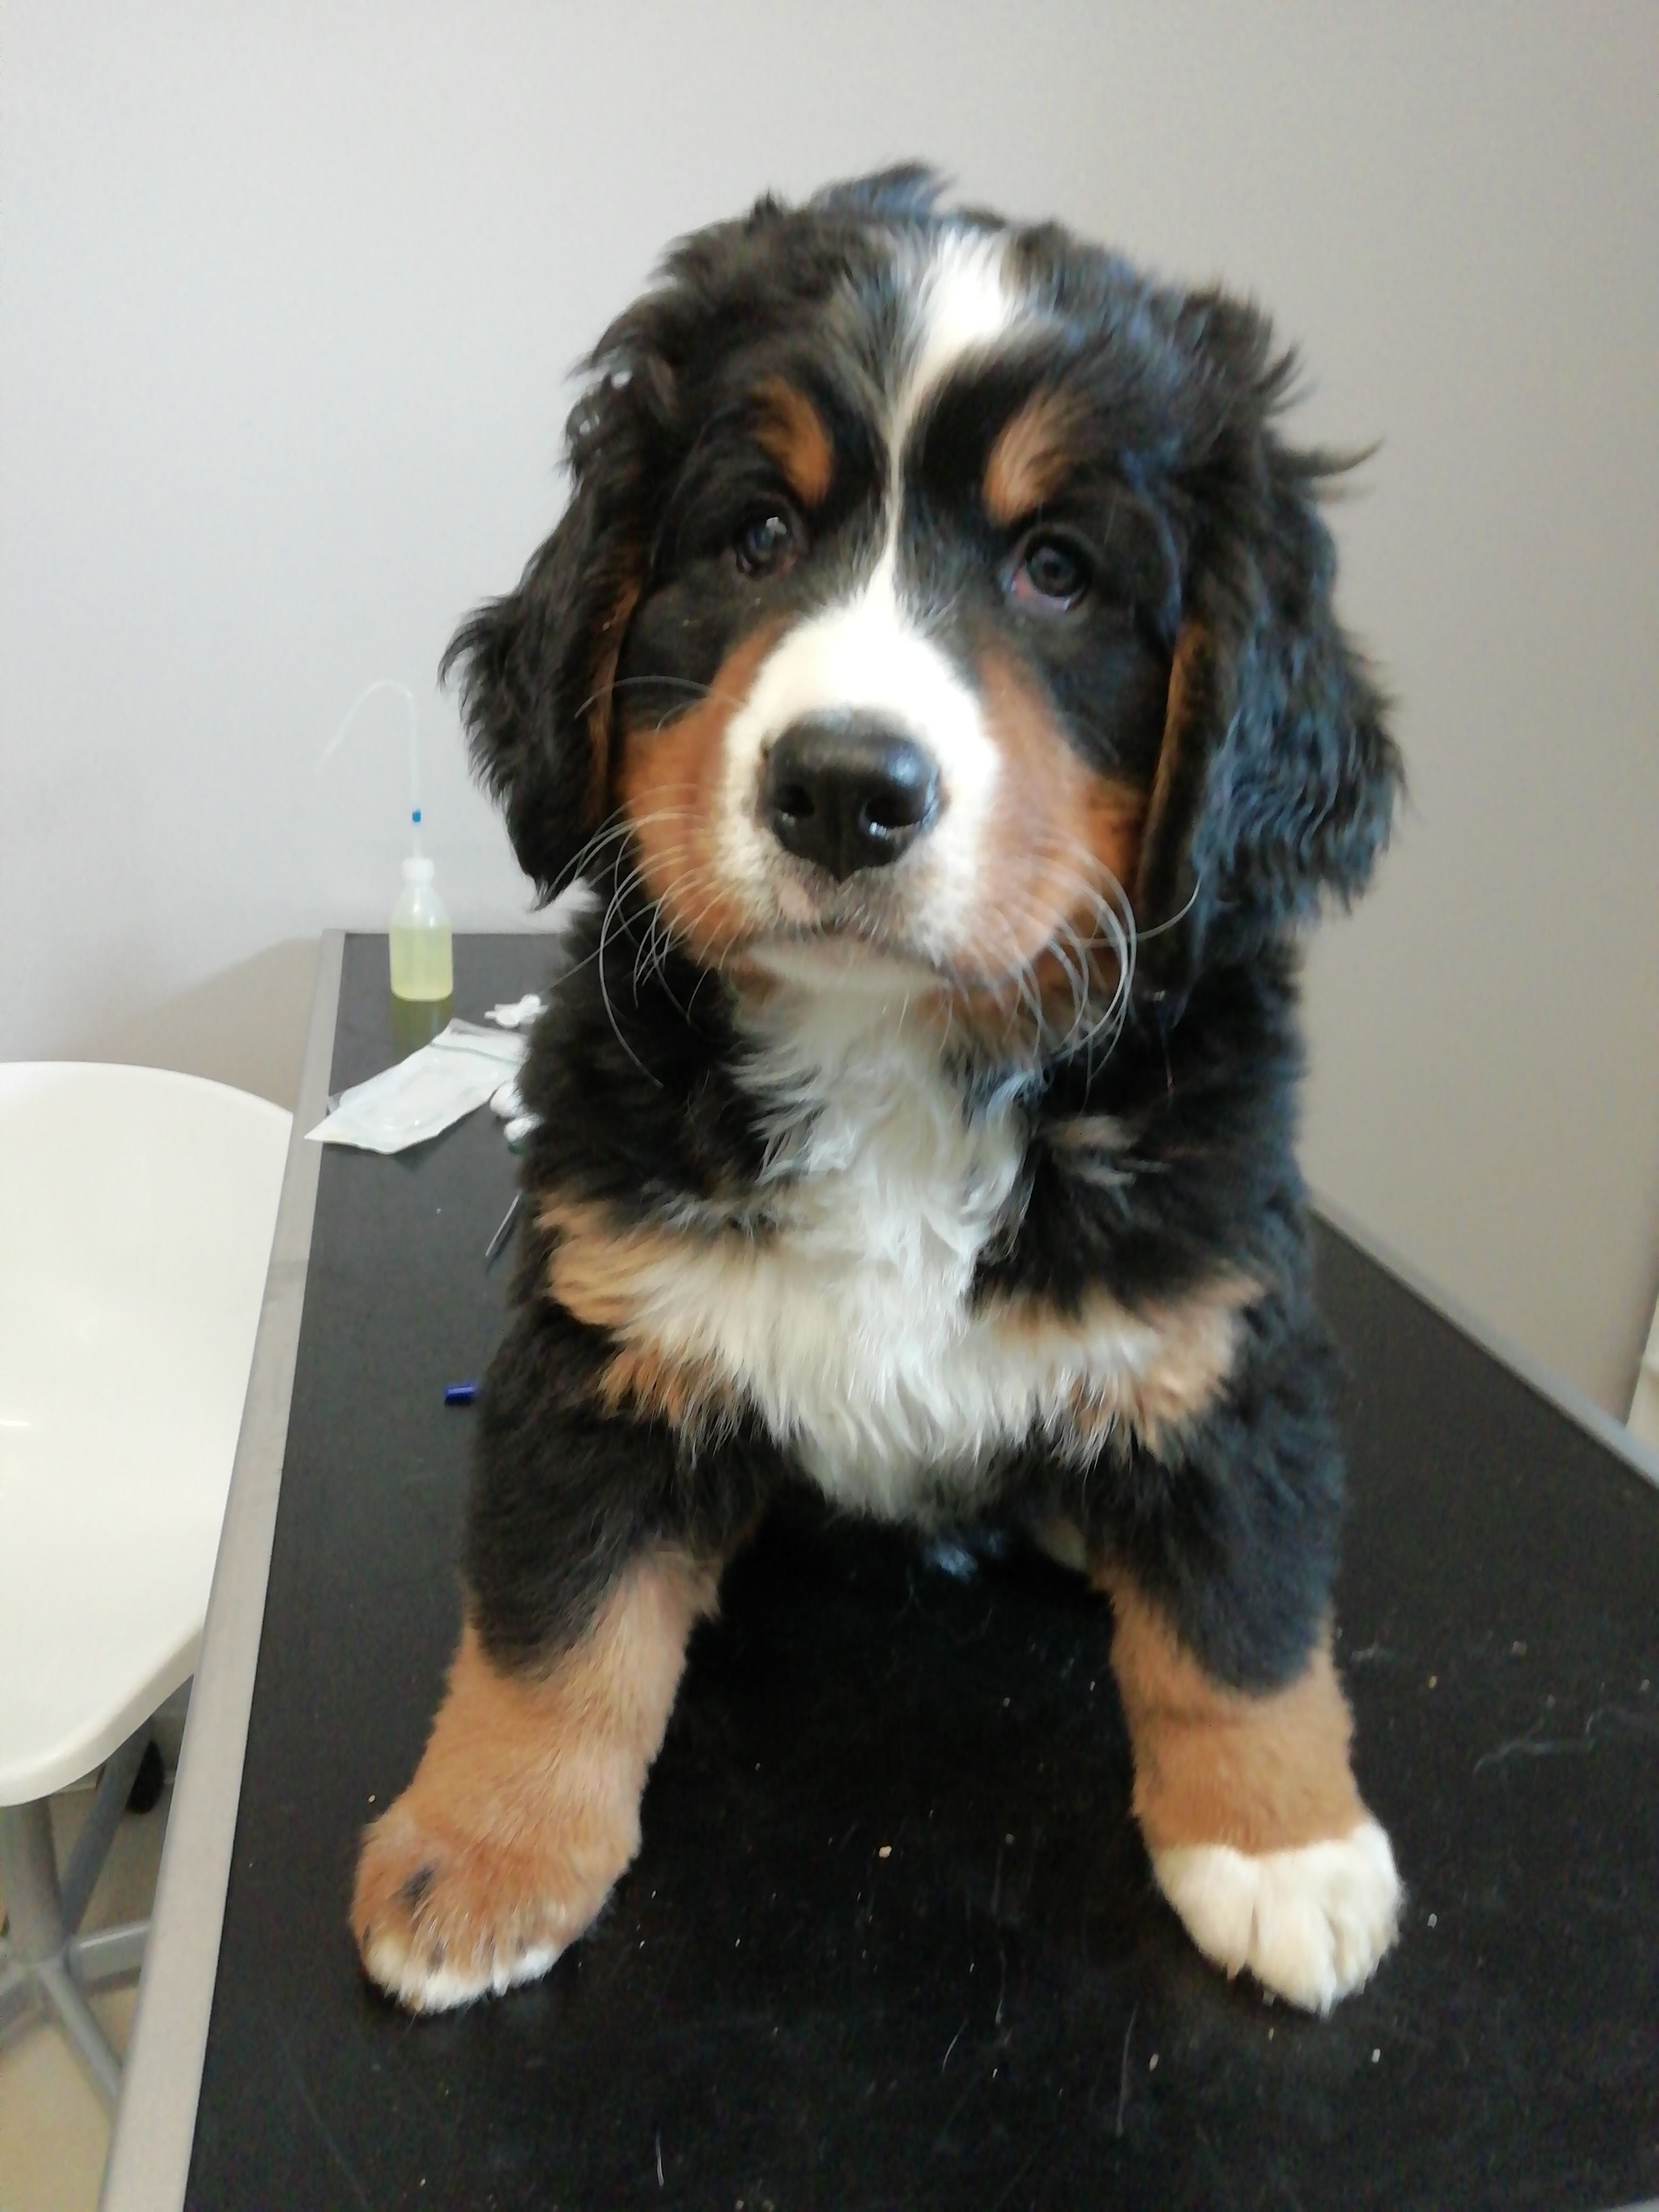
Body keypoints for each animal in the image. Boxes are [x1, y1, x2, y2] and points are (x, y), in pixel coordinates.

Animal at [352, 167, 1404, 2018]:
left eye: (1057, 571)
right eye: (758, 534)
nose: (845, 790)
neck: (891, 1053)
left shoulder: (1219, 1327)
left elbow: (1244, 1609)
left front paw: (1281, 1847)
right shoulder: (602, 1330)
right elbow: (554, 1618)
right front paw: (478, 1854)